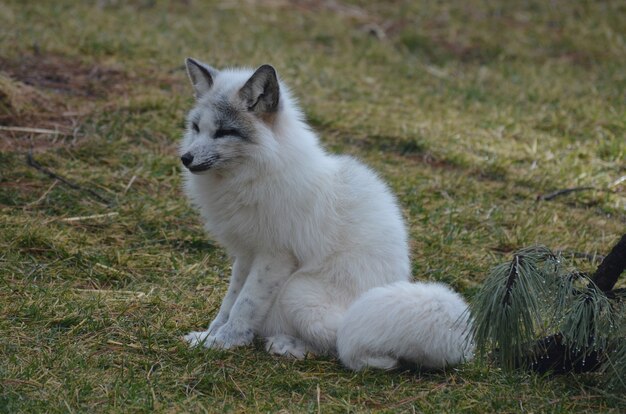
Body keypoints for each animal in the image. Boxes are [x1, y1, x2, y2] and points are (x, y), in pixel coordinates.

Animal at [178, 57, 470, 368]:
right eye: (196, 127)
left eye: (224, 132)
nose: (185, 158)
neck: (254, 174)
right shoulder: (246, 253)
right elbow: (229, 301)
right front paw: (209, 335)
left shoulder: (275, 255)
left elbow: (245, 305)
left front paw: (223, 342)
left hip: (296, 291)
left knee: (345, 344)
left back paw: (289, 345)